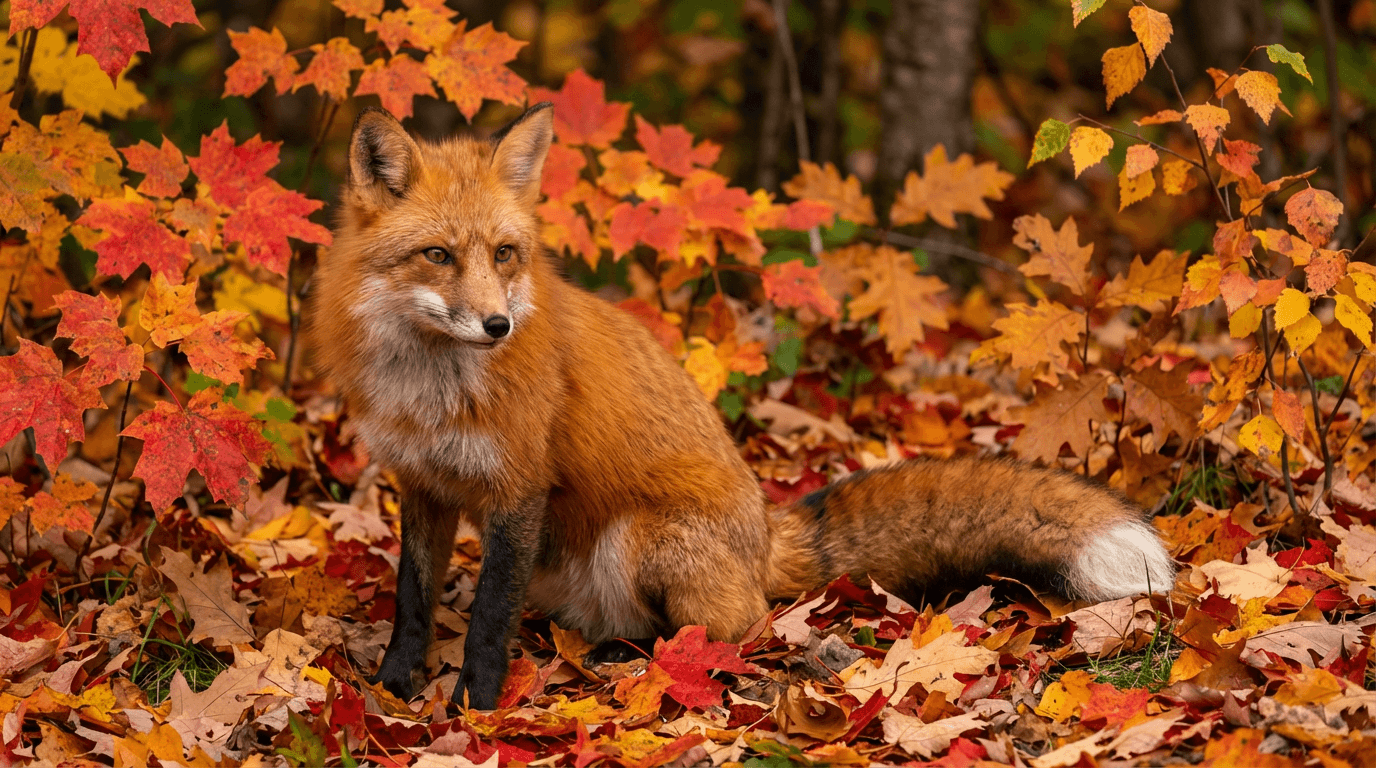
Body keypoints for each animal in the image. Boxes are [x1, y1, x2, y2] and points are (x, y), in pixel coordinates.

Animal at [307, 103, 1178, 710]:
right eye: (438, 255)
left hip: (643, 539)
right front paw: (393, 686)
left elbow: (488, 618)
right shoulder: (421, 485)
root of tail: (764, 532)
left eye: (505, 254)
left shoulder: (518, 490)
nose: (498, 325)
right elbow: (412, 600)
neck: (433, 391)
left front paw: (475, 706)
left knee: (736, 624)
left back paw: (647, 660)